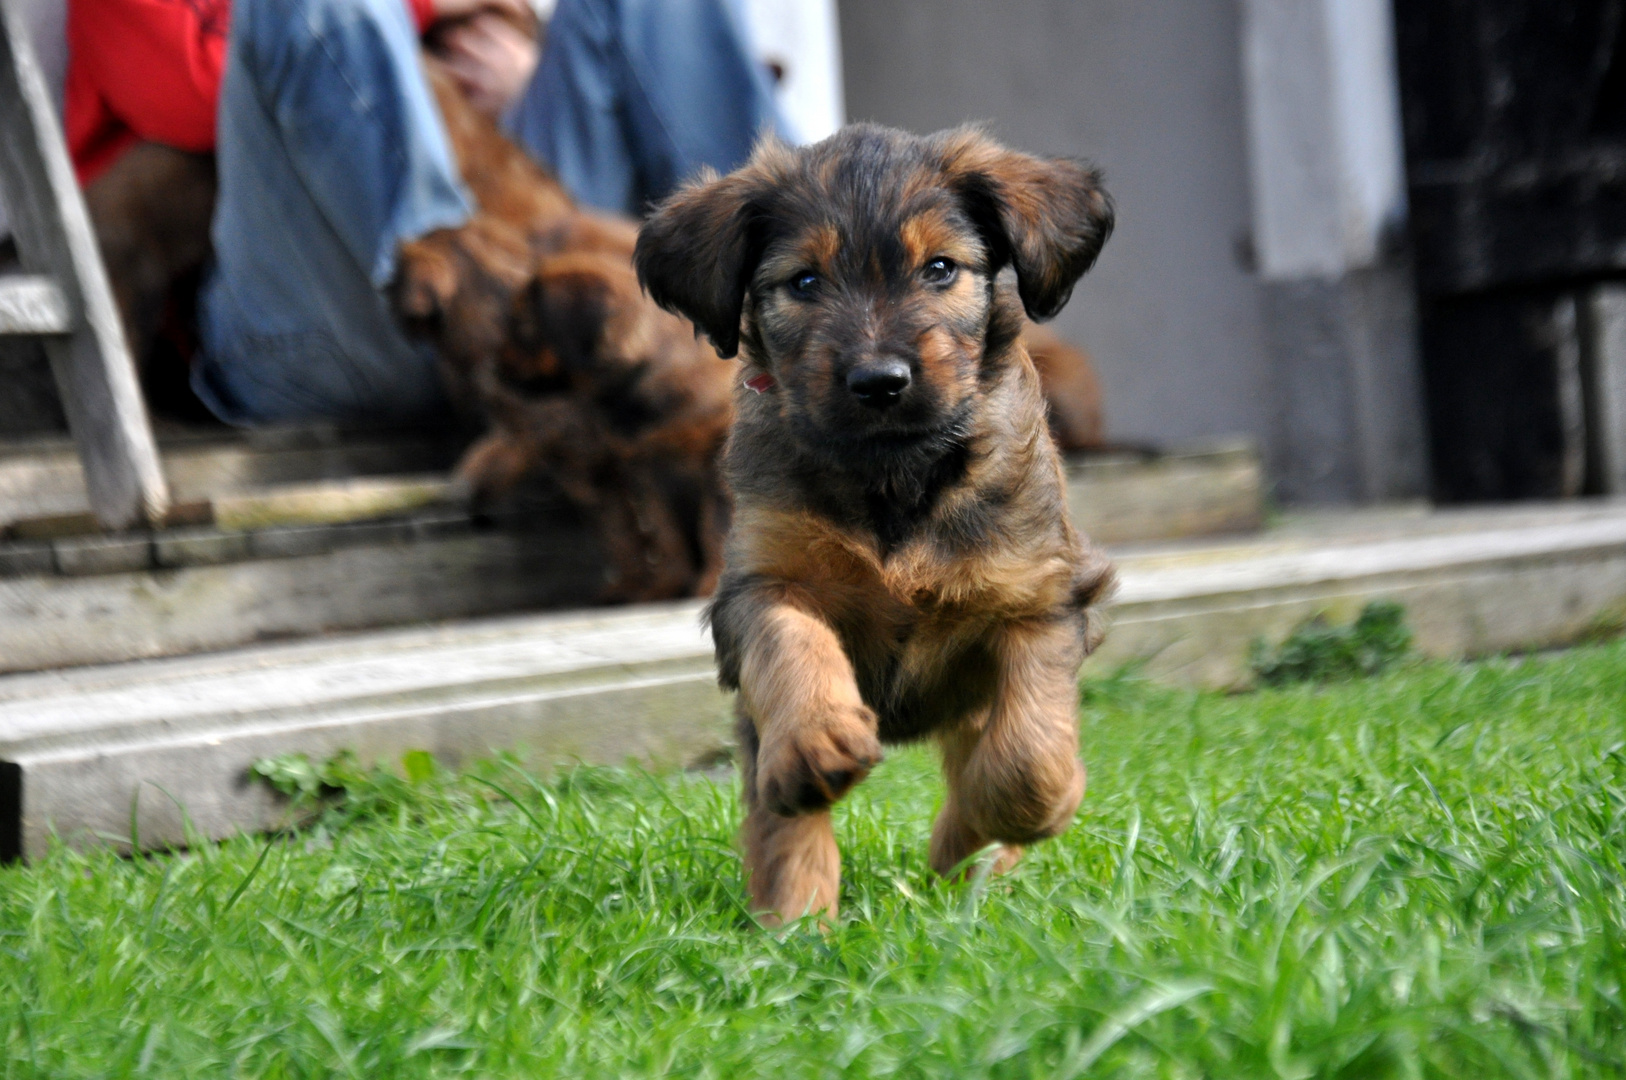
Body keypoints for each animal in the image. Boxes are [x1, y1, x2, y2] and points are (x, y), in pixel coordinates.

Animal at [634, 124, 1118, 917]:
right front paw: (819, 738)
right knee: (782, 820)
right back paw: (797, 920)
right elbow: (792, 644)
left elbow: (1026, 759)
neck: (893, 476)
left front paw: (994, 827)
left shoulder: (1040, 593)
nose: (880, 382)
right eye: (804, 282)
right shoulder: (760, 582)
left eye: (940, 268)